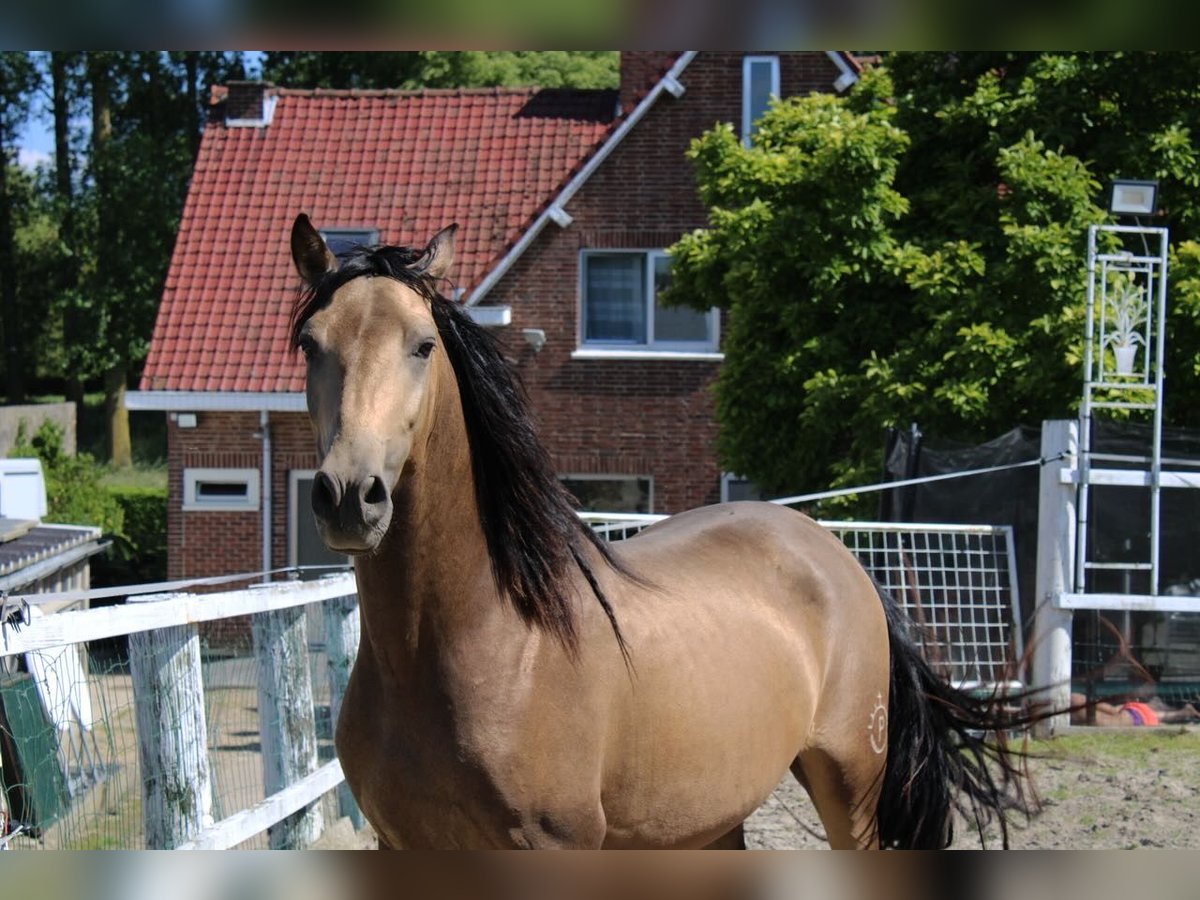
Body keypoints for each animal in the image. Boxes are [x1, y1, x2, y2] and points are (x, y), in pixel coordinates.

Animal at [285, 214, 1036, 849]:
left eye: (423, 345)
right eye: (310, 344)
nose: (349, 496)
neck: (492, 638)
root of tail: (838, 555)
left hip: (850, 786)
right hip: (710, 821)